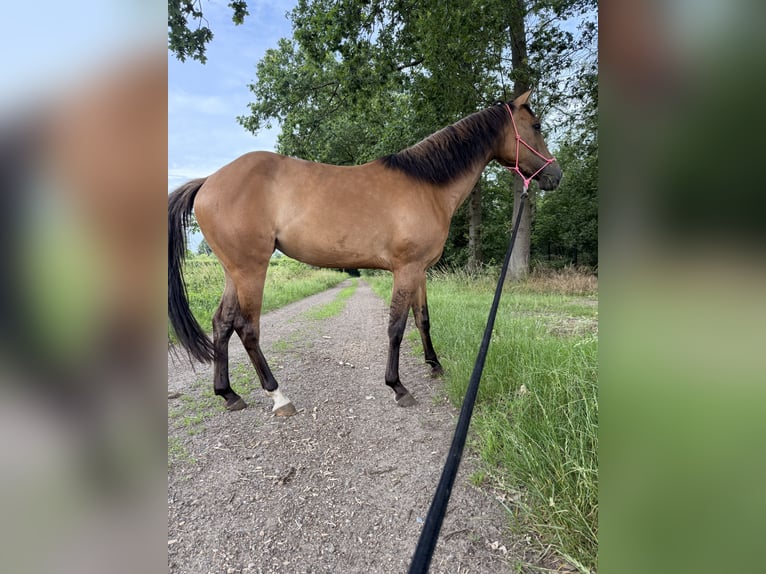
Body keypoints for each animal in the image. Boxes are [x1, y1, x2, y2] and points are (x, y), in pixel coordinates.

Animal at [168, 90, 562, 416]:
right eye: (537, 125)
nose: (555, 175)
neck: (427, 184)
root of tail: (208, 182)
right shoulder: (406, 270)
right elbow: (396, 327)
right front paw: (398, 386)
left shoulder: (419, 271)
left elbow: (423, 319)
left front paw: (434, 365)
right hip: (252, 269)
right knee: (246, 328)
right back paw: (278, 396)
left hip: (233, 271)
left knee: (221, 323)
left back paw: (229, 394)